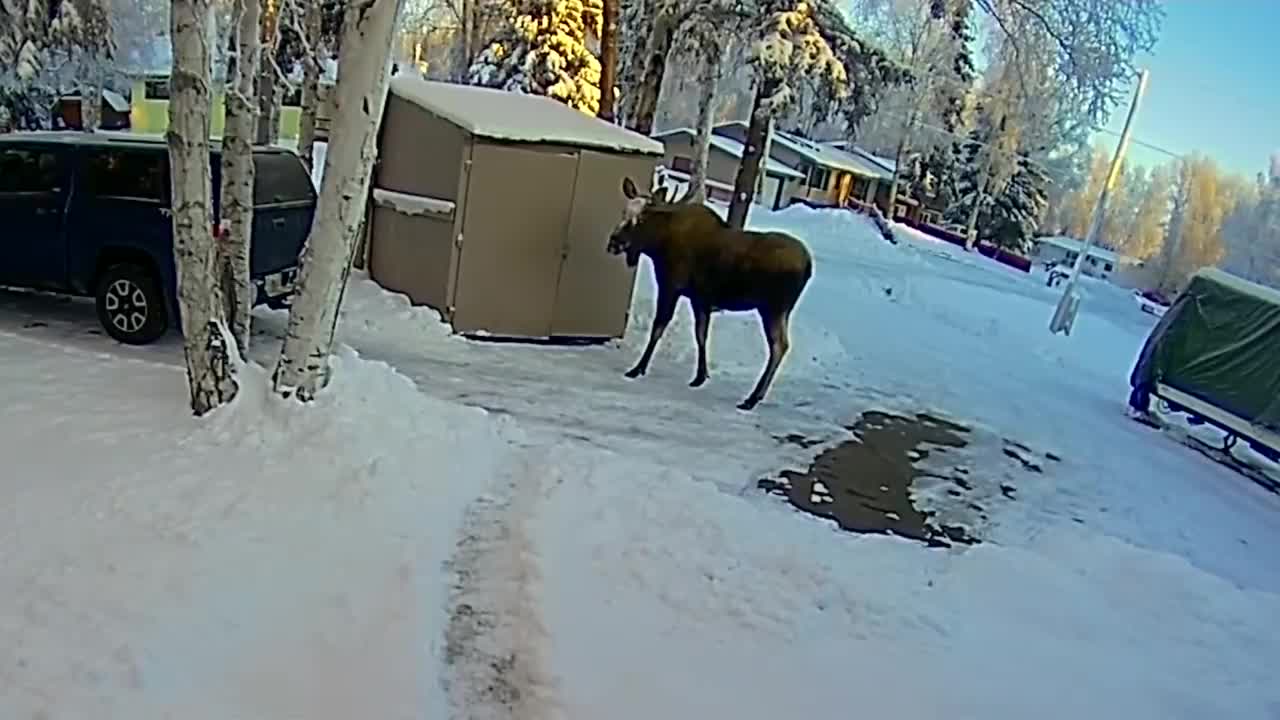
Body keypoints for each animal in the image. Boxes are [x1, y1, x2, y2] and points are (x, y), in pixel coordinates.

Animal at [606, 175, 808, 409]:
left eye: (640, 220)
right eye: (624, 212)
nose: (613, 243)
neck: (657, 245)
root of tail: (809, 266)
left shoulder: (670, 286)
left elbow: (658, 327)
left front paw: (637, 368)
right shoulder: (699, 298)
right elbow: (701, 334)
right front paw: (700, 376)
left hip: (773, 308)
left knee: (779, 346)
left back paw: (752, 398)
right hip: (779, 311)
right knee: (782, 345)